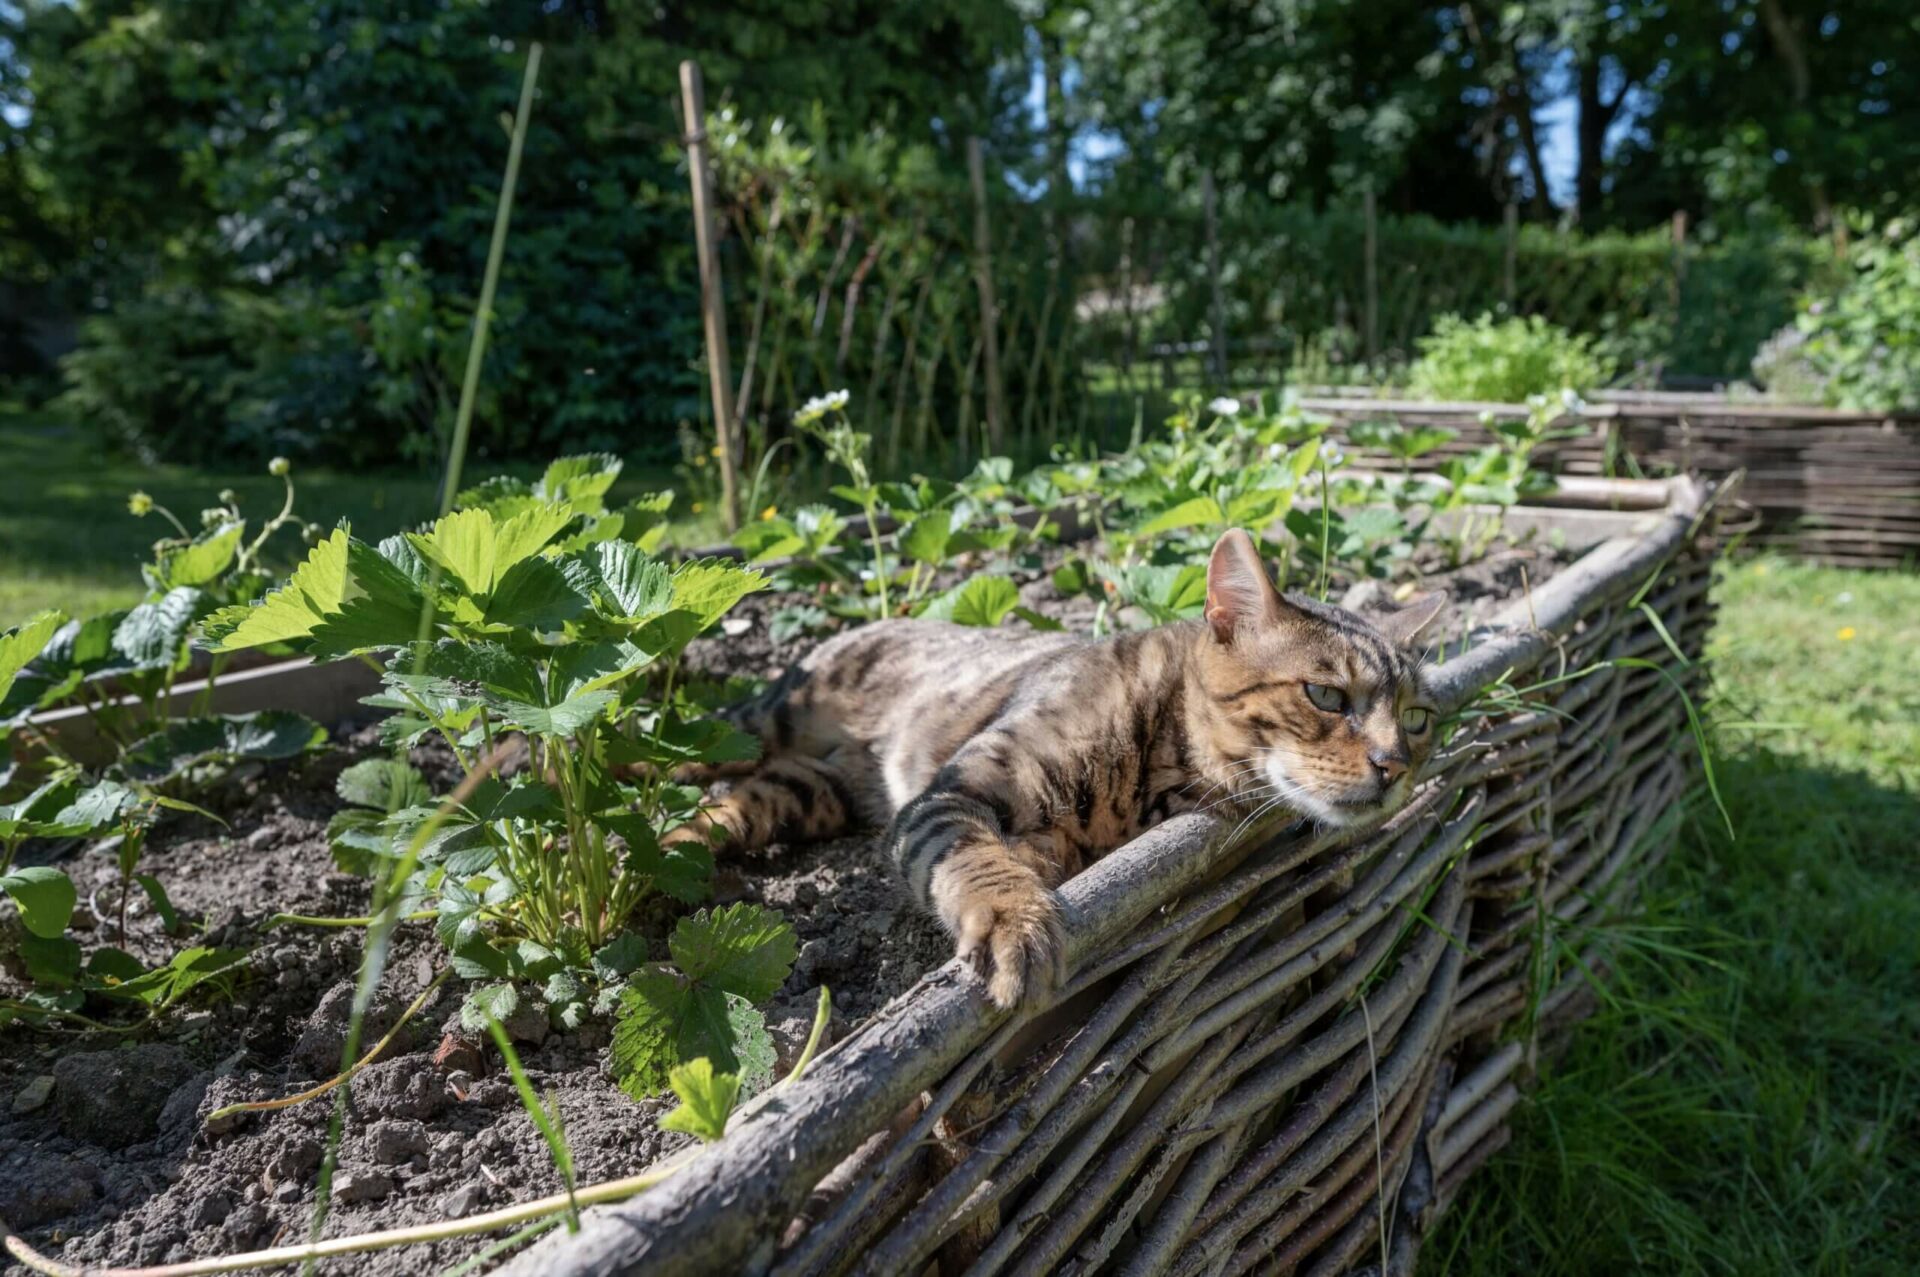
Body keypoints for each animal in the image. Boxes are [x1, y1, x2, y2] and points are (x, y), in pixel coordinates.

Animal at [672, 526, 1443, 1006]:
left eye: (1417, 719)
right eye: (1326, 695)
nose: (1394, 765)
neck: (1159, 769)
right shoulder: (948, 795)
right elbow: (977, 859)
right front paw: (1017, 923)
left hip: (810, 792)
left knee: (725, 810)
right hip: (752, 726)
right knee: (676, 757)